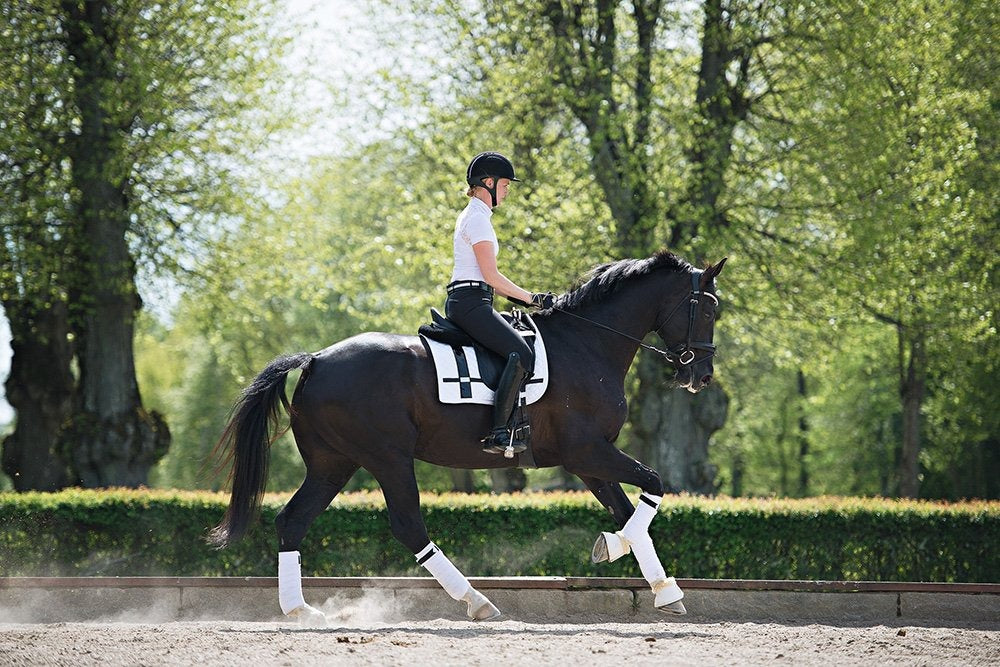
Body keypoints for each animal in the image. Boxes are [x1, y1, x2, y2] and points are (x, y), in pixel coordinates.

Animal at [211, 250, 728, 628]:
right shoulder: (588, 451)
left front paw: (662, 588)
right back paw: (477, 601)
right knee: (408, 526)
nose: (701, 375)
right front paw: (617, 550)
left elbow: (628, 511)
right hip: (387, 458)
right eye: (709, 308)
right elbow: (654, 484)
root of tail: (316, 359)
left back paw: (300, 610)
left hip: (333, 463)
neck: (588, 343)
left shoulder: (588, 459)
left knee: (293, 520)